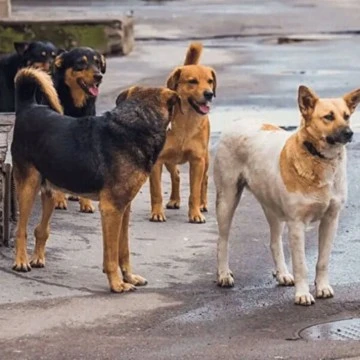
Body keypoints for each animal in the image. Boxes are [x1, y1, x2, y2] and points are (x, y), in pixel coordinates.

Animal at [11, 67, 180, 292]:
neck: (137, 124)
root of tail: (28, 107)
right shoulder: (111, 209)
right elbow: (111, 255)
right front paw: (117, 284)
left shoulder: (124, 208)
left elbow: (123, 250)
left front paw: (129, 277)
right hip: (28, 187)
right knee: (21, 230)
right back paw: (21, 262)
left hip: (50, 191)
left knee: (41, 229)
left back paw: (37, 258)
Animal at [50, 46, 107, 212]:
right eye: (80, 63)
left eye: (97, 63)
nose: (99, 76)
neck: (75, 105)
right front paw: (59, 200)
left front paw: (86, 203)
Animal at [149, 42, 217, 222]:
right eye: (192, 81)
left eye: (210, 81)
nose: (209, 94)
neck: (186, 122)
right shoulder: (157, 162)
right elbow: (156, 192)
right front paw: (157, 212)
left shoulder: (197, 161)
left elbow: (194, 192)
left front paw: (195, 213)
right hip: (170, 160)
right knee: (176, 175)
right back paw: (174, 200)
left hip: (205, 159)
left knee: (204, 180)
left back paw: (203, 203)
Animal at [212, 86, 358, 306]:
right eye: (328, 117)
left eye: (347, 116)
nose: (349, 133)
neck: (318, 158)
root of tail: (238, 121)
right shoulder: (297, 224)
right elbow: (301, 265)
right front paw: (302, 294)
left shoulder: (331, 220)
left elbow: (323, 261)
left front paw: (322, 287)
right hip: (227, 200)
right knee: (223, 240)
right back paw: (223, 274)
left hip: (273, 209)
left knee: (274, 242)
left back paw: (282, 274)